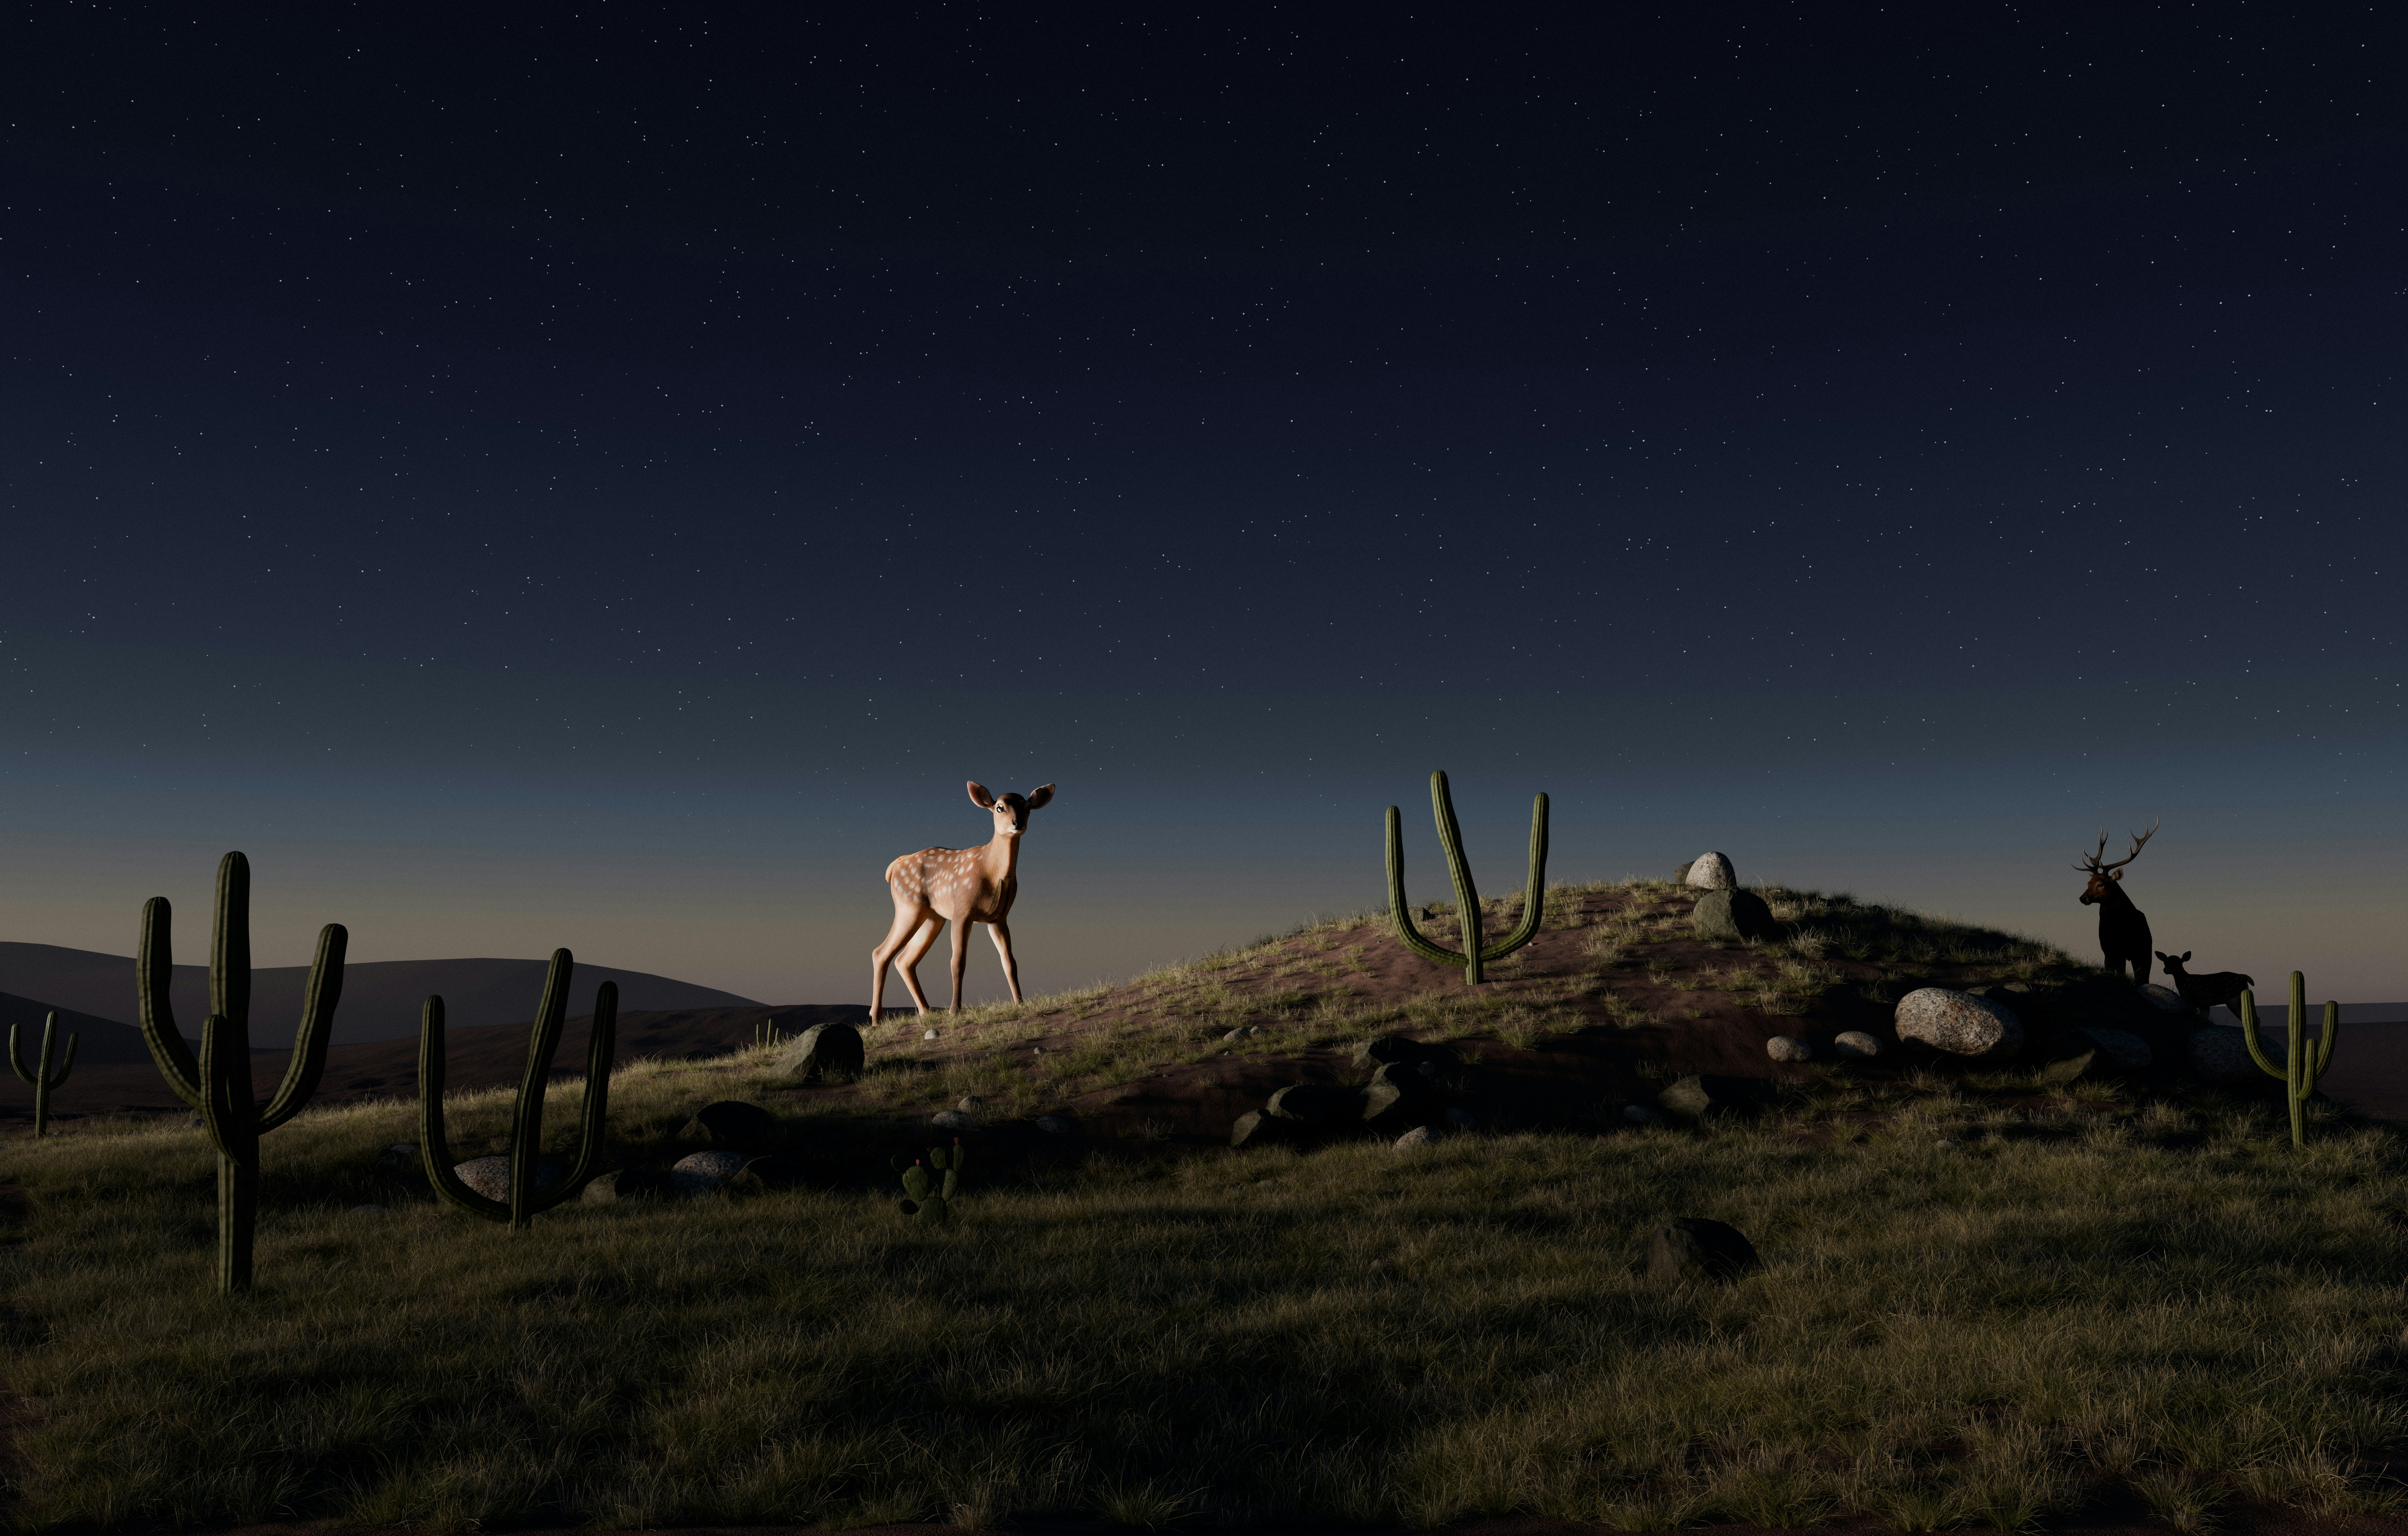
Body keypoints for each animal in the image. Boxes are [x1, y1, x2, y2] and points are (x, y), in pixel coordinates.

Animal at [871, 781, 1055, 1016]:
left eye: (1028, 808)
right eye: (999, 808)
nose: (1018, 823)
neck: (991, 870)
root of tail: (896, 865)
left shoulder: (999, 918)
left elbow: (1010, 962)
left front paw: (1020, 1004)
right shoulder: (962, 911)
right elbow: (958, 961)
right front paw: (954, 1011)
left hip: (933, 917)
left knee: (904, 960)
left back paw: (927, 1012)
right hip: (908, 906)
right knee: (881, 953)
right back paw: (876, 1018)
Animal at [2074, 820, 2158, 984]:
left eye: (2101, 884)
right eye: (2089, 883)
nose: (2083, 898)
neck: (2119, 929)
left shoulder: (2137, 951)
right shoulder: (2109, 950)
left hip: (2145, 950)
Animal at [2155, 951, 2254, 1020]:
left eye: (2178, 963)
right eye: (2165, 962)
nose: (2165, 970)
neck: (2183, 982)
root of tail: (2243, 977)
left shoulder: (2190, 999)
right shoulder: (2204, 1005)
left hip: (2232, 997)